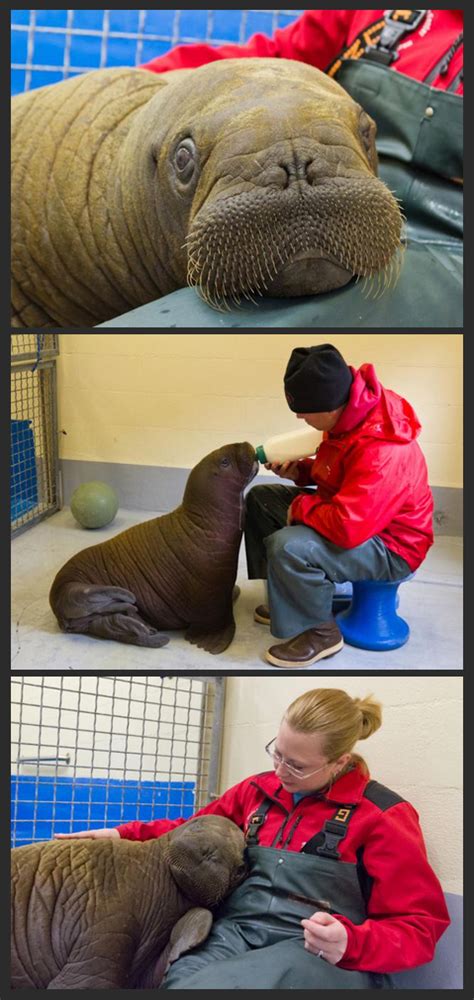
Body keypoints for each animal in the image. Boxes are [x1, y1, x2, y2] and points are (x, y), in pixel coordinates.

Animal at [50, 442, 258, 652]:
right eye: (225, 462)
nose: (245, 444)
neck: (201, 523)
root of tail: (58, 610)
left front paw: (235, 592)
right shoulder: (212, 594)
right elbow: (215, 619)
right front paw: (209, 642)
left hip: (83, 608)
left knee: (106, 622)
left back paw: (143, 625)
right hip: (71, 587)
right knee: (88, 597)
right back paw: (128, 603)